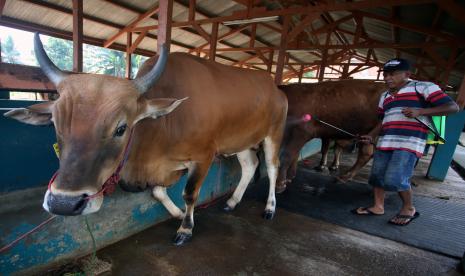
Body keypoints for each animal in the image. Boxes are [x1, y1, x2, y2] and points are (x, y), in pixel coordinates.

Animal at [4, 35, 286, 246]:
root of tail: (276, 89)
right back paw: (231, 201)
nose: (64, 203)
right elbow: (158, 191)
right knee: (249, 166)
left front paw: (185, 229)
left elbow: (189, 193)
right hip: (242, 141)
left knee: (272, 168)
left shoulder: (204, 156)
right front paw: (178, 214)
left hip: (273, 135)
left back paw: (270, 208)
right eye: (56, 124)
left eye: (121, 128)